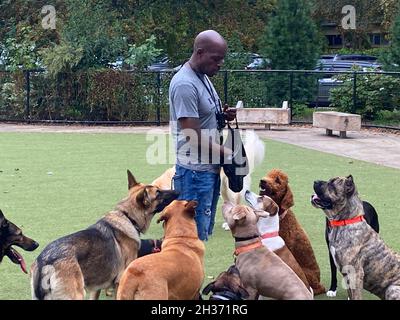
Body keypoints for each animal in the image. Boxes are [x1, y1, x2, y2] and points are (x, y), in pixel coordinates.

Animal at [31, 171, 180, 298]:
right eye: (158, 193)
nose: (177, 191)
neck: (127, 217)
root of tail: (45, 261)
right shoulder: (120, 282)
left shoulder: (96, 288)